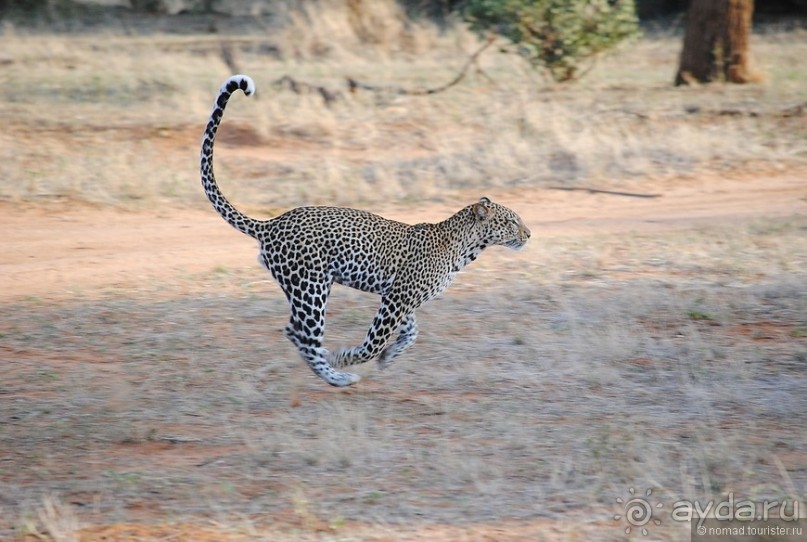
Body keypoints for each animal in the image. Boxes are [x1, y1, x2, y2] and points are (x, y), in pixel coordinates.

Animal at [200, 76, 532, 388]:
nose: (529, 234)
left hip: (306, 288)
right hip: (311, 288)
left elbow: (411, 332)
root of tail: (271, 224)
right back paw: (337, 375)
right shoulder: (397, 297)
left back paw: (330, 373)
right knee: (304, 335)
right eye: (511, 221)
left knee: (295, 332)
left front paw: (389, 357)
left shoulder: (400, 298)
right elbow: (374, 342)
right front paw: (348, 358)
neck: (465, 249)